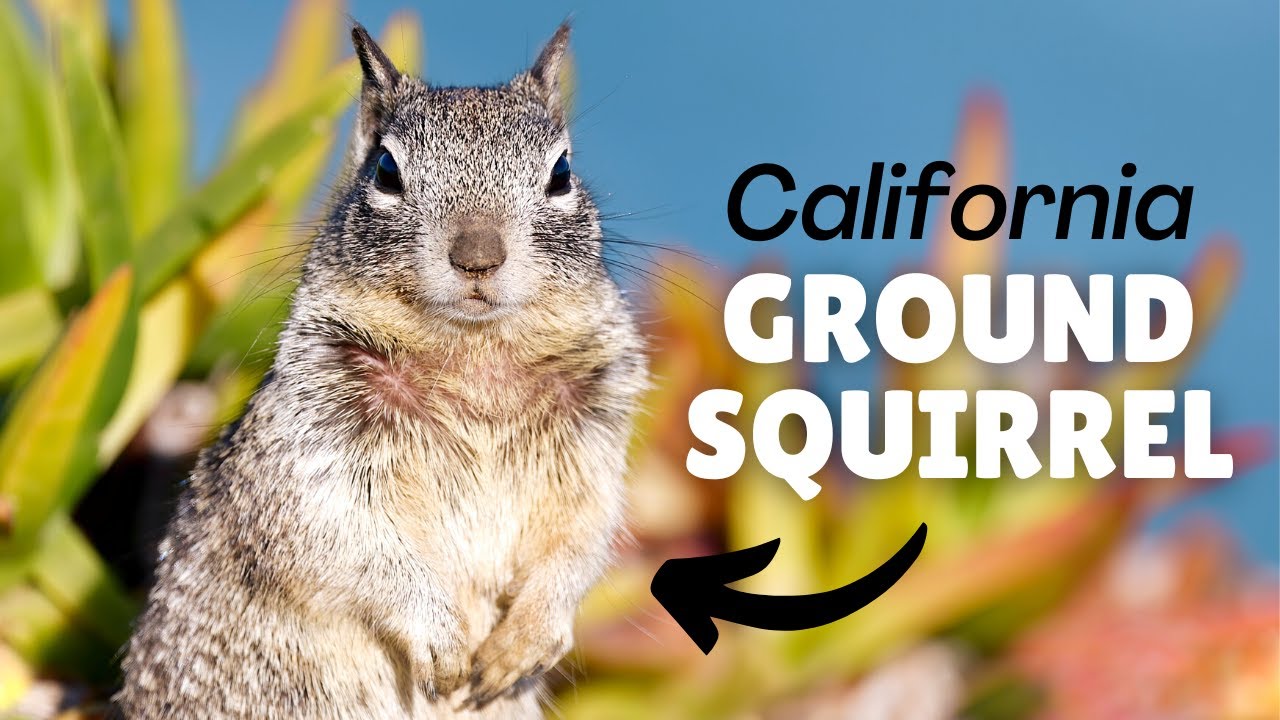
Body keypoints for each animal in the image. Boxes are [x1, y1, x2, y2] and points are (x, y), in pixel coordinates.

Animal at [115, 21, 647, 720]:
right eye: (387, 172)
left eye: (561, 173)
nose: (478, 256)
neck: (476, 357)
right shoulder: (312, 446)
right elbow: (344, 536)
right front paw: (443, 641)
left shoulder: (594, 440)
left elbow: (584, 536)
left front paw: (525, 641)